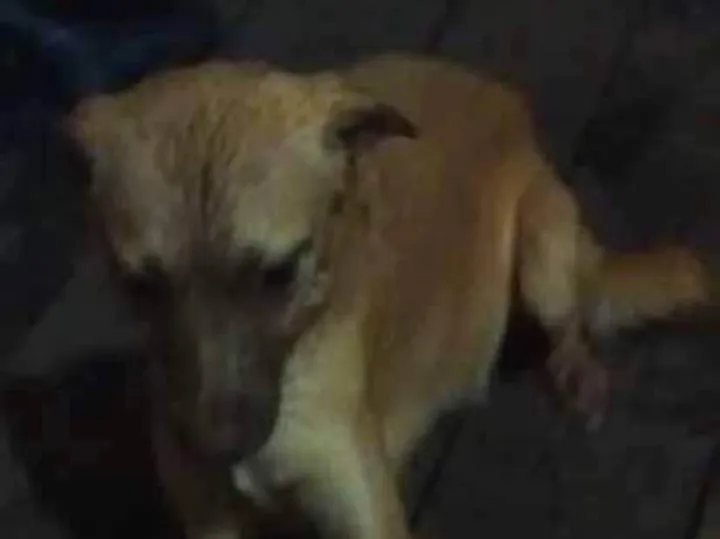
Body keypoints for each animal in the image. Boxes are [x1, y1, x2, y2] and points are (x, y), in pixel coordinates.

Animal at [67, 53, 717, 539]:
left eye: (280, 272)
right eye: (138, 283)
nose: (214, 450)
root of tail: (503, 97)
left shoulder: (365, 515)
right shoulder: (210, 524)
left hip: (543, 249)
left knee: (572, 322)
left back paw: (577, 371)